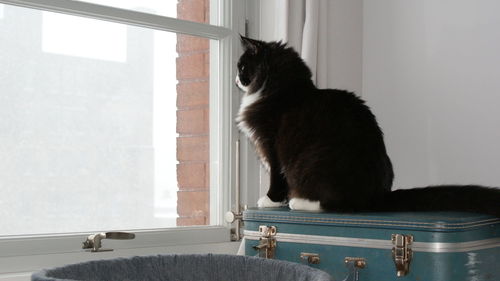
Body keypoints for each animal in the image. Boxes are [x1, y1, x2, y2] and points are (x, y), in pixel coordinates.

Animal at [236, 35, 500, 217]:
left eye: (242, 66)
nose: (236, 79)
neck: (286, 90)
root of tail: (378, 196)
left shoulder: (271, 144)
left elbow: (276, 177)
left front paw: (270, 201)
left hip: (312, 162)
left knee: (336, 204)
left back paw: (298, 202)